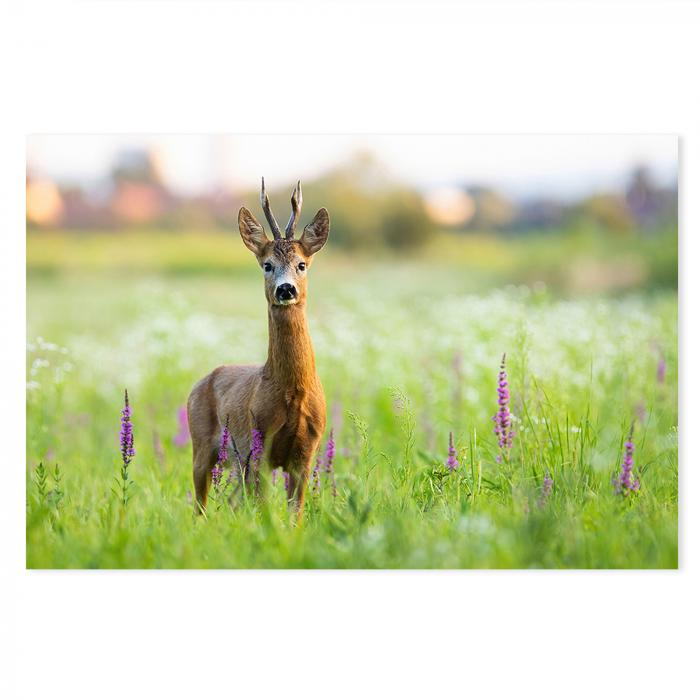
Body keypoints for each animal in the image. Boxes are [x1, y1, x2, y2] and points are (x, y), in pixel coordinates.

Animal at [185, 179, 330, 520]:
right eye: (267, 265)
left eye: (301, 264)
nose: (286, 289)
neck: (294, 392)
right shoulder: (260, 442)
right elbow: (265, 512)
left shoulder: (306, 452)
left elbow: (295, 515)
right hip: (202, 444)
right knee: (200, 505)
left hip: (237, 463)